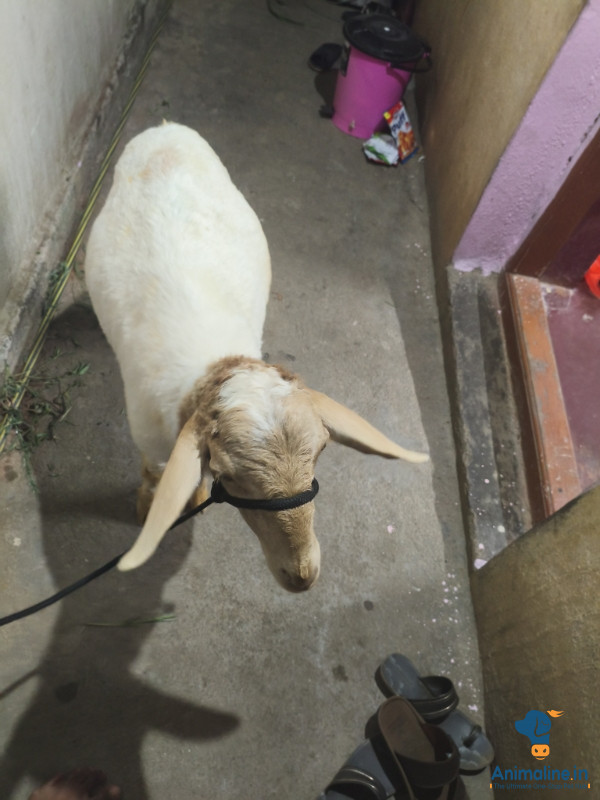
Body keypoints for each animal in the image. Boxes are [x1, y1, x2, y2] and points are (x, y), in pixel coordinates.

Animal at [84, 122, 428, 593]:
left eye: (323, 449)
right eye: (228, 474)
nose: (301, 576)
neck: (214, 366)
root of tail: (166, 130)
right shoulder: (152, 445)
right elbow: (153, 480)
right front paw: (147, 512)